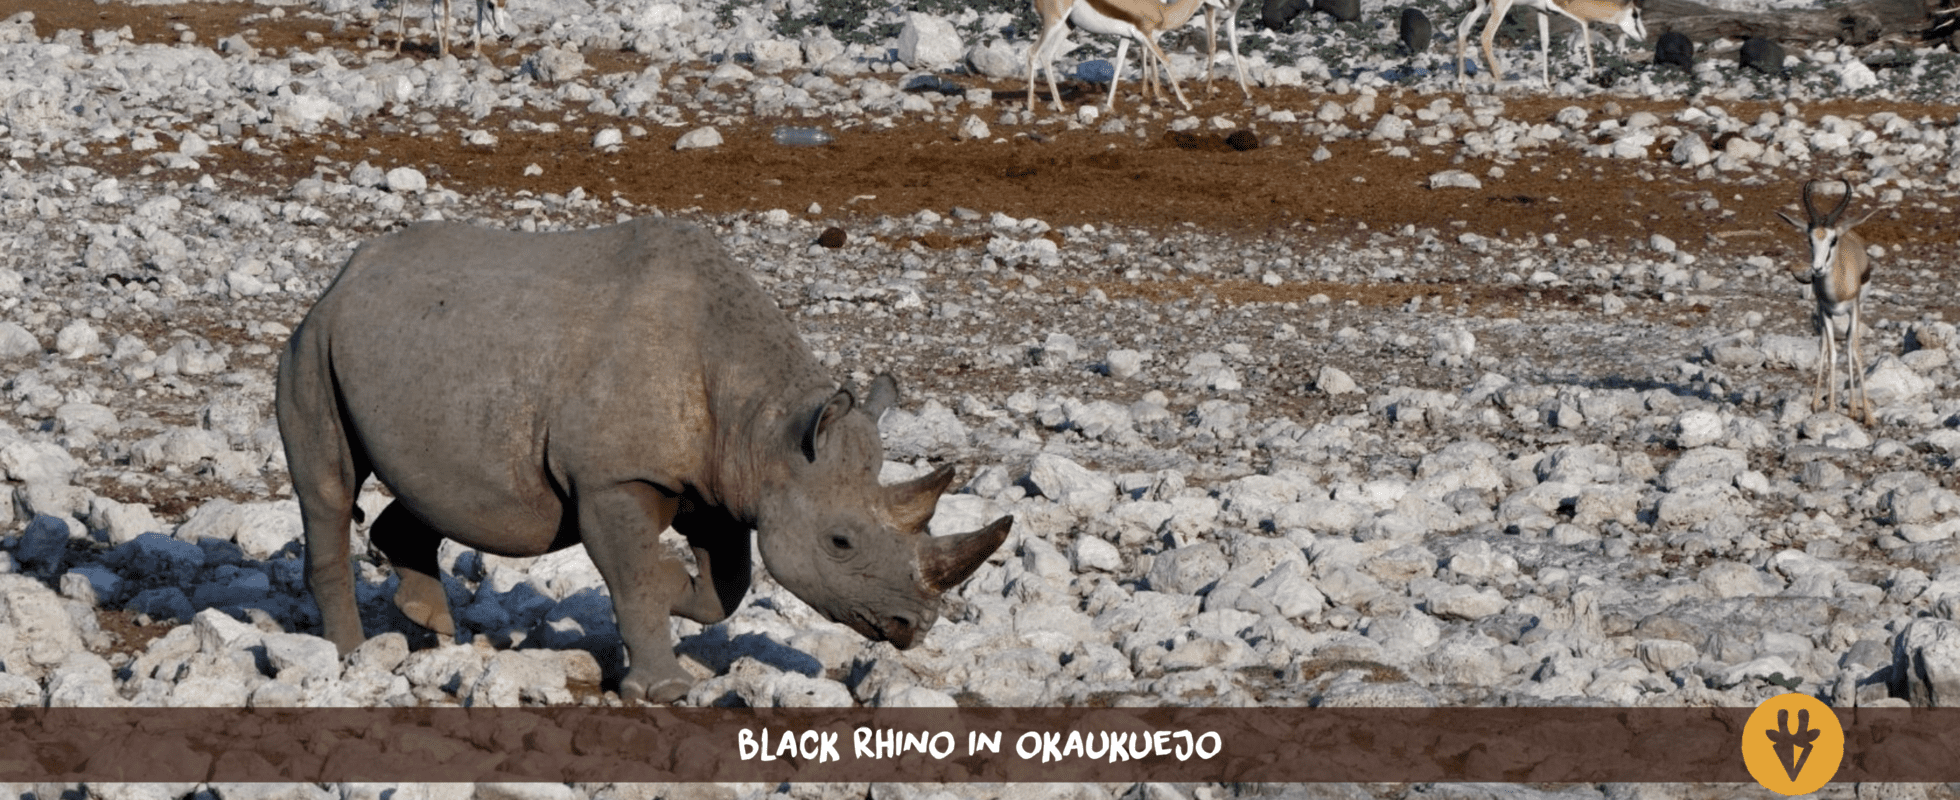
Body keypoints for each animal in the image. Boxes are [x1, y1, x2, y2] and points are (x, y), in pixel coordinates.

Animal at [275, 217, 1013, 702]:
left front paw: (672, 587)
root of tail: (344, 277)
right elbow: (632, 577)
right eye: (841, 542)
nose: (914, 628)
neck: (769, 425)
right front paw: (662, 686)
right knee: (329, 489)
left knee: (428, 488)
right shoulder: (614, 479)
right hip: (312, 344)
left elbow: (726, 587)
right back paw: (352, 657)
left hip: (416, 350)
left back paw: (432, 630)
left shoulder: (720, 485)